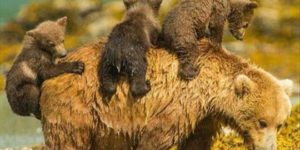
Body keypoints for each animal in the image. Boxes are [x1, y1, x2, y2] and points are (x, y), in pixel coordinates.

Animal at [39, 38, 292, 149]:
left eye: (279, 124)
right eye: (262, 122)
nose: (269, 148)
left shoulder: (204, 117)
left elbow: (196, 142)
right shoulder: (180, 104)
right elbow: (156, 137)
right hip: (78, 107)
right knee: (69, 141)